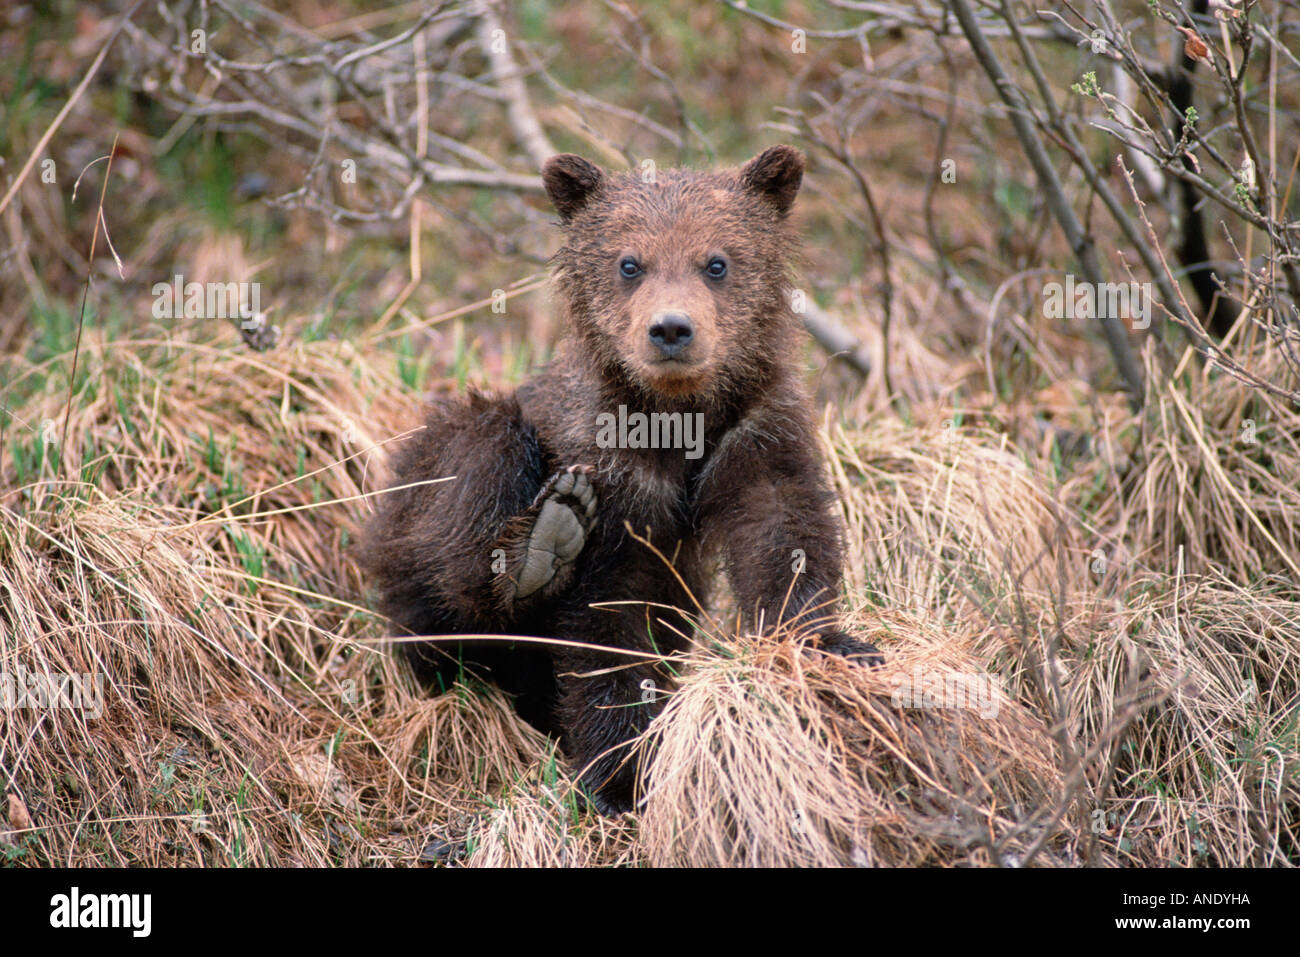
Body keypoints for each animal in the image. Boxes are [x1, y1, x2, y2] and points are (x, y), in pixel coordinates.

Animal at [361, 145, 878, 811]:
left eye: (717, 262)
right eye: (630, 263)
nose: (671, 329)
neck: (679, 417)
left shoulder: (758, 433)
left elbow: (783, 533)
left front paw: (829, 645)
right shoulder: (612, 468)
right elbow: (607, 609)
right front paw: (620, 773)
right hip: (424, 499)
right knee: (475, 472)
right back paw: (537, 549)